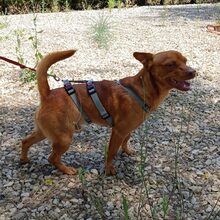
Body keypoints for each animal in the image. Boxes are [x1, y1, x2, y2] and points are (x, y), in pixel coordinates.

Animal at [20, 49, 196, 175]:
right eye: (170, 64)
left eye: (185, 61)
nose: (194, 71)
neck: (142, 89)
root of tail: (47, 93)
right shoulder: (118, 131)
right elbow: (111, 152)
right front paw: (109, 169)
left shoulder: (127, 130)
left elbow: (126, 140)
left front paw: (126, 151)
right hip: (64, 138)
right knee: (52, 158)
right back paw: (66, 170)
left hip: (45, 133)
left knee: (25, 141)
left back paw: (24, 159)